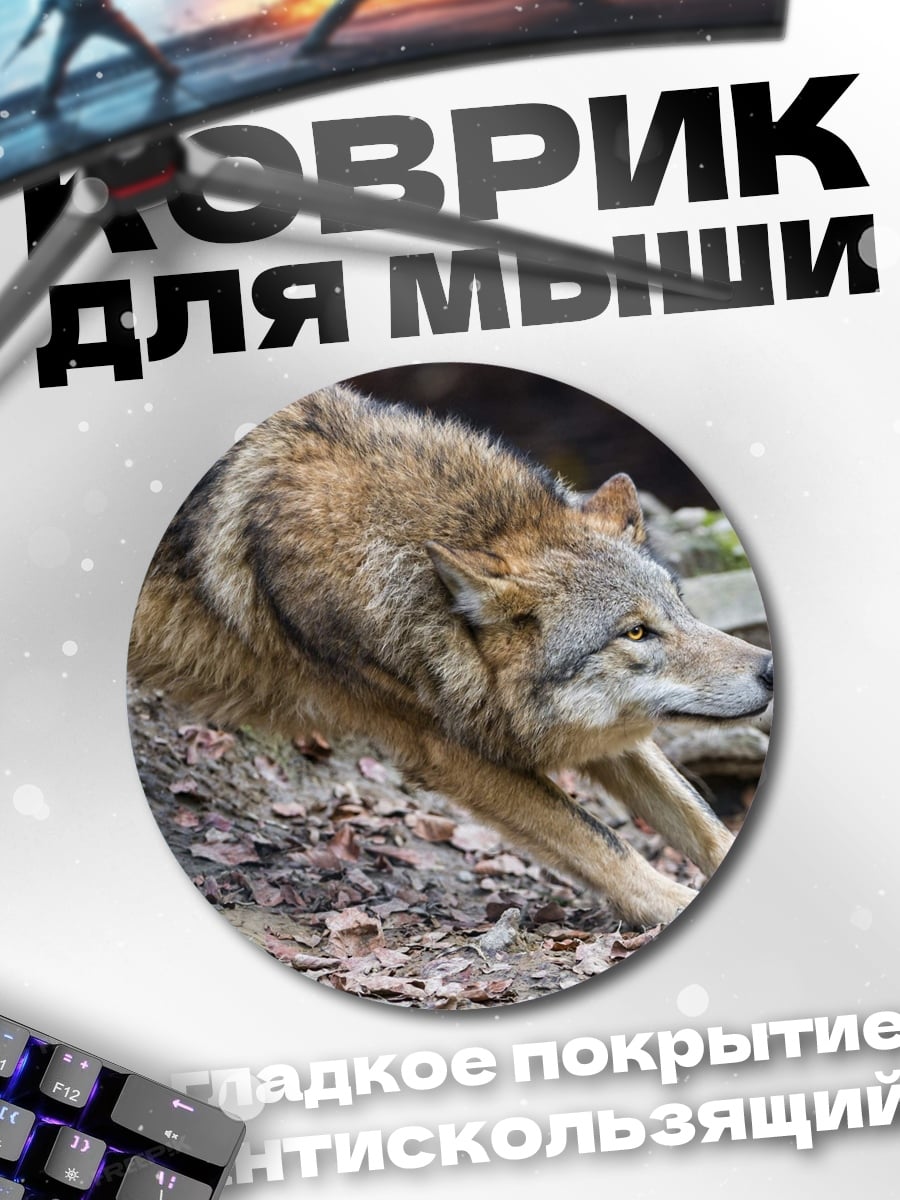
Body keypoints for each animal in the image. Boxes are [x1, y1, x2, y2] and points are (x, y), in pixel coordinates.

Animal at [129, 385, 773, 928]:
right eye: (636, 633)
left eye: (680, 609)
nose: (770, 669)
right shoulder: (448, 748)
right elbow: (601, 840)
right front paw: (676, 903)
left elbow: (698, 817)